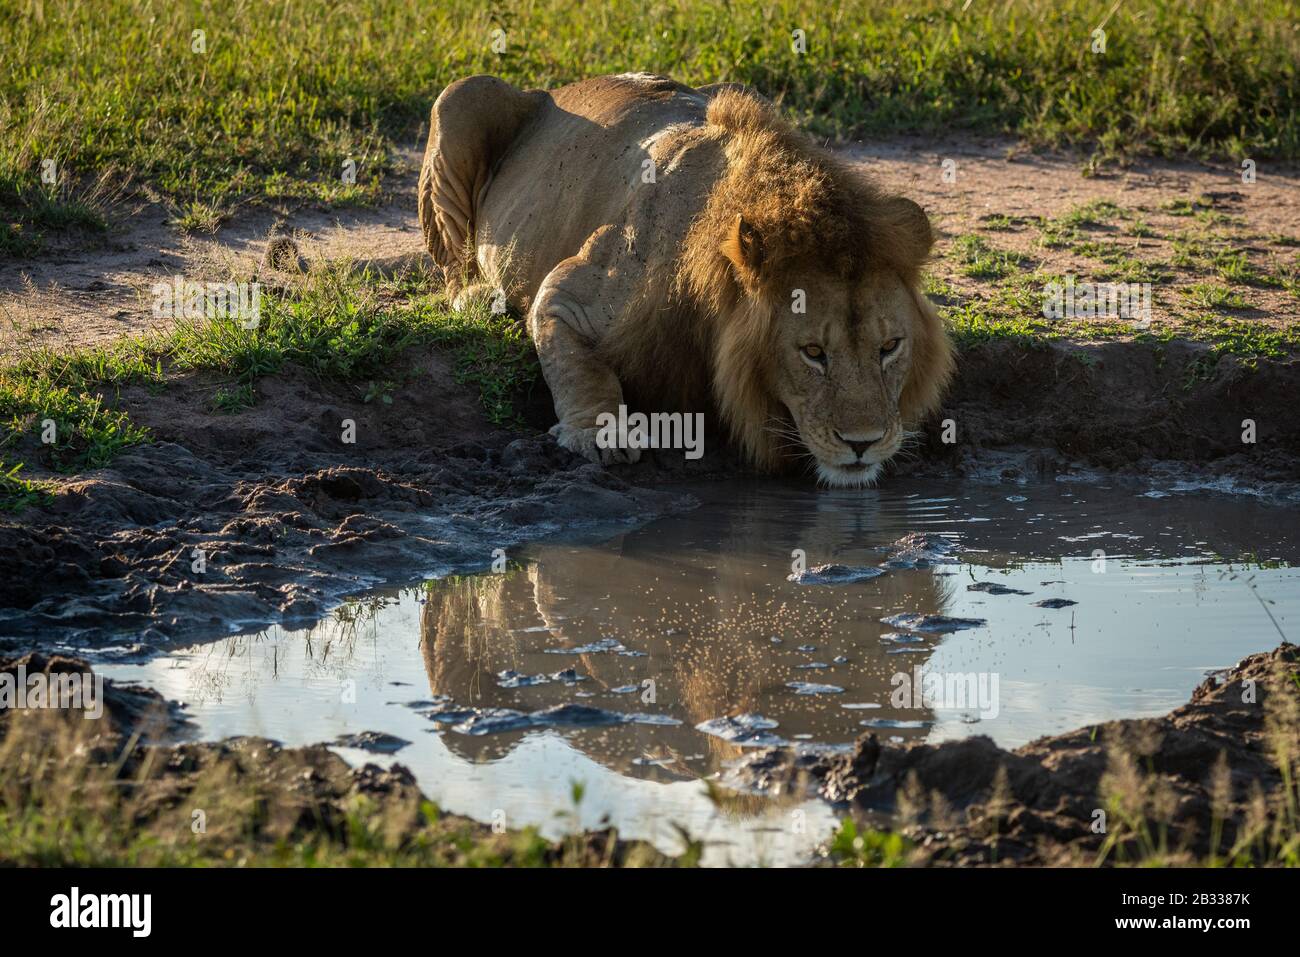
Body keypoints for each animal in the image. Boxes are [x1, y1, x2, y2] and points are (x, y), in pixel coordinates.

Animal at [418, 72, 953, 487]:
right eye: (813, 353)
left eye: (890, 347)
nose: (864, 443)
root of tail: (553, 87)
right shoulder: (569, 294)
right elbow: (579, 367)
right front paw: (600, 434)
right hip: (462, 95)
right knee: (453, 263)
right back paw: (477, 296)